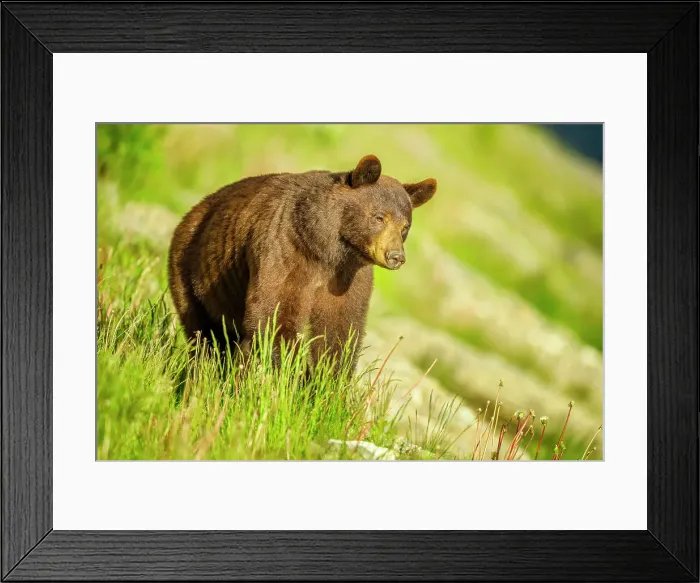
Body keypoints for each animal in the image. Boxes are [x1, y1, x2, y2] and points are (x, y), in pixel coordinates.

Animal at [167, 154, 437, 373]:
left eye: (405, 227)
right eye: (379, 217)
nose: (396, 257)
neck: (327, 250)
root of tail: (194, 210)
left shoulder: (349, 277)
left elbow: (340, 331)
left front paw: (325, 380)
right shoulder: (287, 250)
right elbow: (274, 314)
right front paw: (287, 373)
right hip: (192, 269)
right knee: (206, 335)